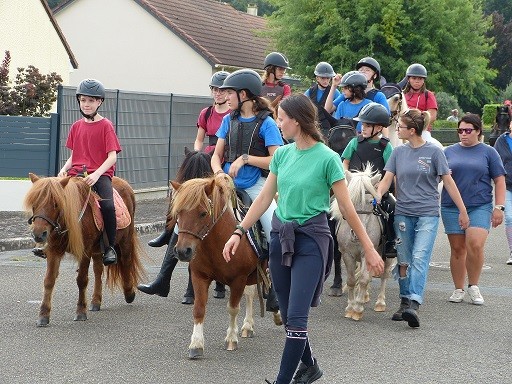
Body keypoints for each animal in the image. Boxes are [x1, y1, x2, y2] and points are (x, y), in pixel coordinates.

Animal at [24, 174, 146, 328]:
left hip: (125, 239)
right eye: (34, 203)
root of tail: (125, 184)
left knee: (126, 262)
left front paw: (81, 312)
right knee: (98, 270)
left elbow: (82, 280)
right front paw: (43, 315)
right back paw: (96, 301)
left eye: (56, 203)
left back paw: (129, 293)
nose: (39, 234)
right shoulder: (54, 251)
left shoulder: (85, 251)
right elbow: (49, 280)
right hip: (98, 249)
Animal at [169, 176, 270, 358]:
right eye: (178, 213)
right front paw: (196, 344)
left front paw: (231, 339)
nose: (182, 251)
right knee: (250, 294)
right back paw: (247, 326)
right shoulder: (199, 276)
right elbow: (199, 309)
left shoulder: (238, 279)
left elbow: (233, 308)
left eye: (203, 213)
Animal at [332, 166, 396, 320]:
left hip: (386, 256)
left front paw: (358, 309)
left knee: (384, 275)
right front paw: (350, 307)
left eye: (370, 201)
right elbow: (351, 280)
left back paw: (380, 303)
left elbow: (363, 279)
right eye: (349, 200)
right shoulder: (348, 254)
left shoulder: (367, 254)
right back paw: (364, 296)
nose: (356, 233)